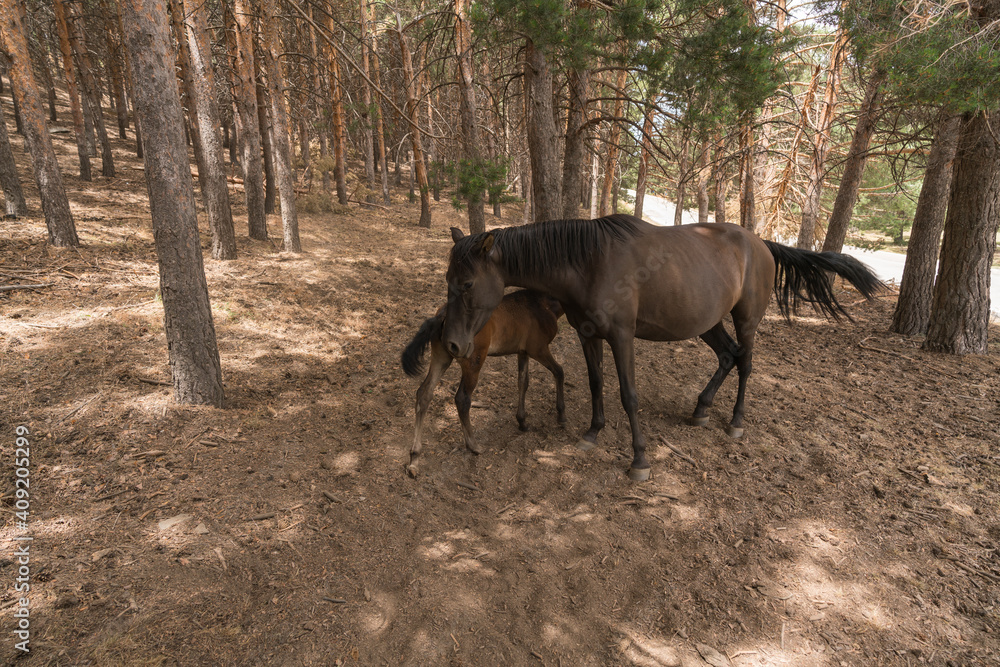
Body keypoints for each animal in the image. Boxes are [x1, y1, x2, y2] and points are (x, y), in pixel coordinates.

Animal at [401, 289, 566, 476]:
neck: (543, 303)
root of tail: (443, 315)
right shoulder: (538, 349)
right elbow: (559, 372)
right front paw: (561, 415)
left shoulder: (523, 352)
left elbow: (523, 382)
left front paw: (522, 422)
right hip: (473, 362)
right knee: (462, 399)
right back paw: (473, 446)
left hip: (441, 357)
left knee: (424, 393)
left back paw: (414, 458)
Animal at [442, 215, 884, 481]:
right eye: (449, 280)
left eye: (466, 283)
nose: (453, 343)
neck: (589, 262)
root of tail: (760, 243)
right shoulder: (589, 335)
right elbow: (596, 383)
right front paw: (592, 432)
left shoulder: (622, 337)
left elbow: (628, 395)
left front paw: (639, 460)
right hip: (708, 322)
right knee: (727, 356)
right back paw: (701, 409)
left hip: (746, 321)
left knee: (745, 364)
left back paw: (736, 422)